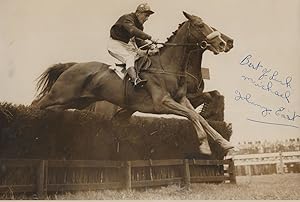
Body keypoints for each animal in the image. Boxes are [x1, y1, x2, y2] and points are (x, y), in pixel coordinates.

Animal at [33, 11, 234, 155]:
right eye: (200, 25)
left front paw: (224, 143)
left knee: (51, 109)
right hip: (61, 94)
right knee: (36, 103)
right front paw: (204, 146)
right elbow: (192, 116)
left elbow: (199, 117)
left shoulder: (182, 99)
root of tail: (71, 66)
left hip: (76, 101)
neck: (168, 66)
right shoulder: (162, 102)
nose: (224, 43)